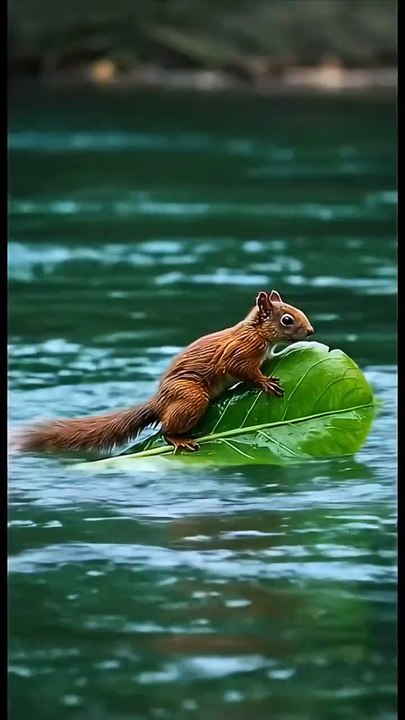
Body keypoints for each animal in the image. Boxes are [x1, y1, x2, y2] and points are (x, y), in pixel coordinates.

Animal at [17, 290, 314, 454]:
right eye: (287, 319)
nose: (311, 331)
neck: (257, 332)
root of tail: (159, 401)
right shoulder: (239, 351)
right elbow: (242, 369)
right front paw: (264, 382)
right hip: (191, 397)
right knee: (164, 429)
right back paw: (178, 439)